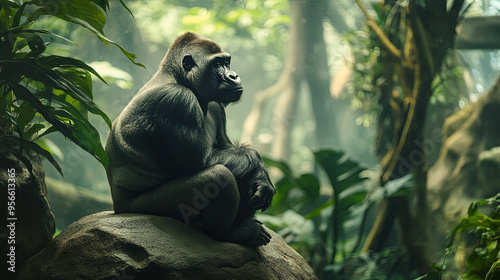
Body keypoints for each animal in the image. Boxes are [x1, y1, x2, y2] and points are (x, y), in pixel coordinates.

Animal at [106, 32, 278, 245]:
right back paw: (227, 233)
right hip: (140, 208)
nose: (234, 75)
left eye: (227, 62)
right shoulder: (178, 100)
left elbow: (229, 150)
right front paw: (259, 165)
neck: (178, 77)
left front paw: (260, 175)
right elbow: (202, 162)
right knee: (219, 175)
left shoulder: (215, 104)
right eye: (217, 64)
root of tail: (116, 206)